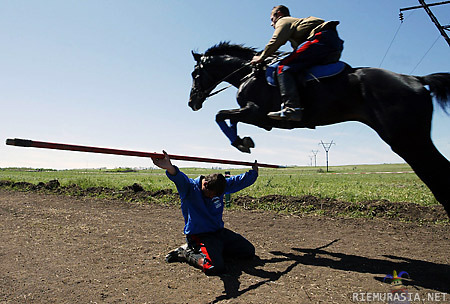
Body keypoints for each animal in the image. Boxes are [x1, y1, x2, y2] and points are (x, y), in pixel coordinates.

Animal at [189, 41, 450, 217]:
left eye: (194, 73)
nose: (192, 102)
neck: (249, 74)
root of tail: (416, 80)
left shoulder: (256, 112)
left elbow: (220, 115)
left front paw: (240, 142)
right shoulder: (255, 116)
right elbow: (227, 119)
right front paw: (244, 141)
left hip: (406, 139)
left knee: (438, 175)